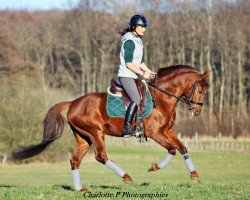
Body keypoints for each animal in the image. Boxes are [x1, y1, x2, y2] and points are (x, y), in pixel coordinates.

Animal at [12, 65, 210, 192]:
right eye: (201, 90)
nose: (197, 111)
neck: (161, 98)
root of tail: (73, 102)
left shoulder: (167, 131)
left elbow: (182, 148)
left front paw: (194, 175)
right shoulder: (155, 133)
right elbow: (172, 149)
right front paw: (154, 167)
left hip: (84, 138)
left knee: (75, 160)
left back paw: (80, 189)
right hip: (96, 133)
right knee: (101, 156)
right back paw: (126, 177)